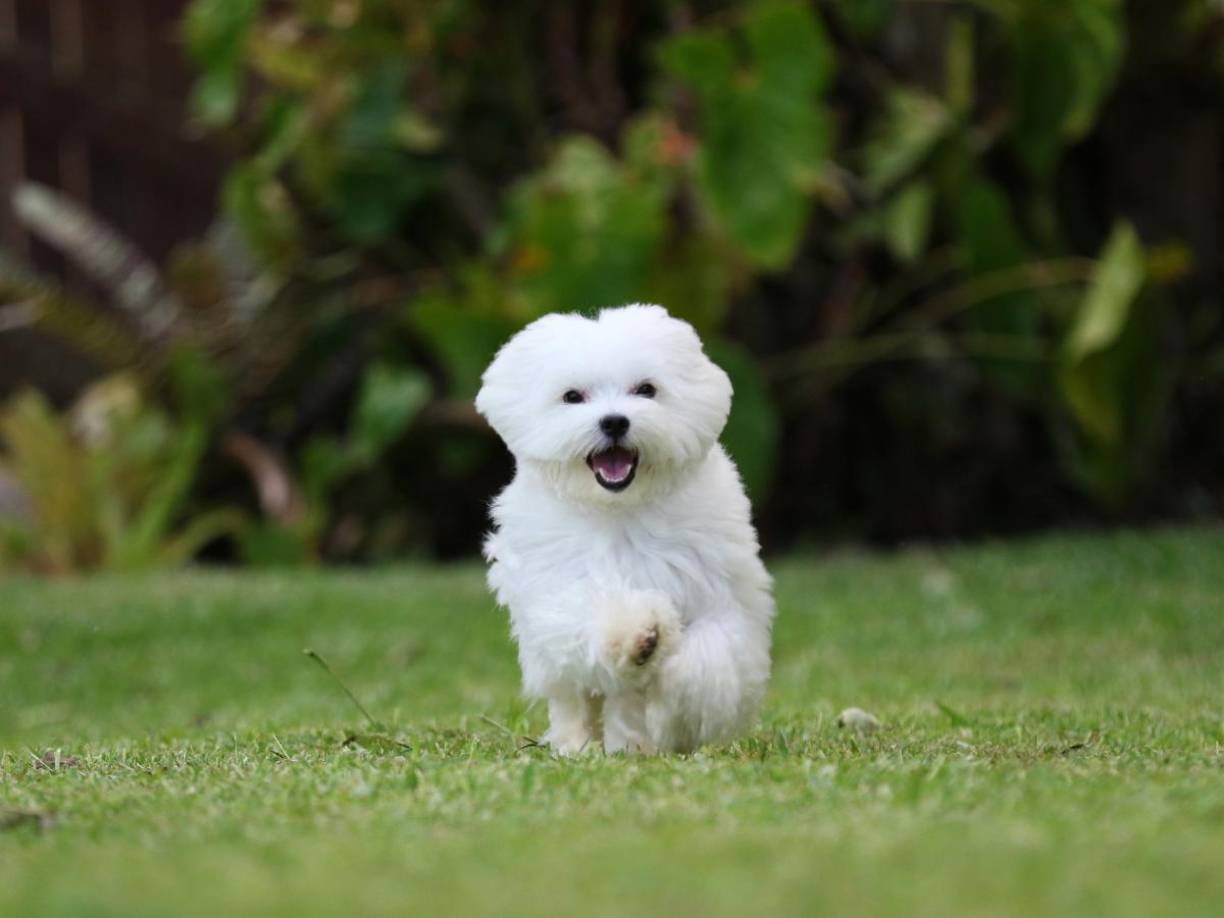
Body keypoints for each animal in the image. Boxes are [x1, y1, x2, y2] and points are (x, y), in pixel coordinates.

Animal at [476, 304, 774, 753]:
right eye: (572, 396)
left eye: (646, 389)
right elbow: (588, 614)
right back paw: (578, 744)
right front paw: (638, 635)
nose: (614, 421)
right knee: (575, 698)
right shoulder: (555, 586)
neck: (620, 509)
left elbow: (710, 652)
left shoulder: (719, 588)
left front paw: (673, 681)